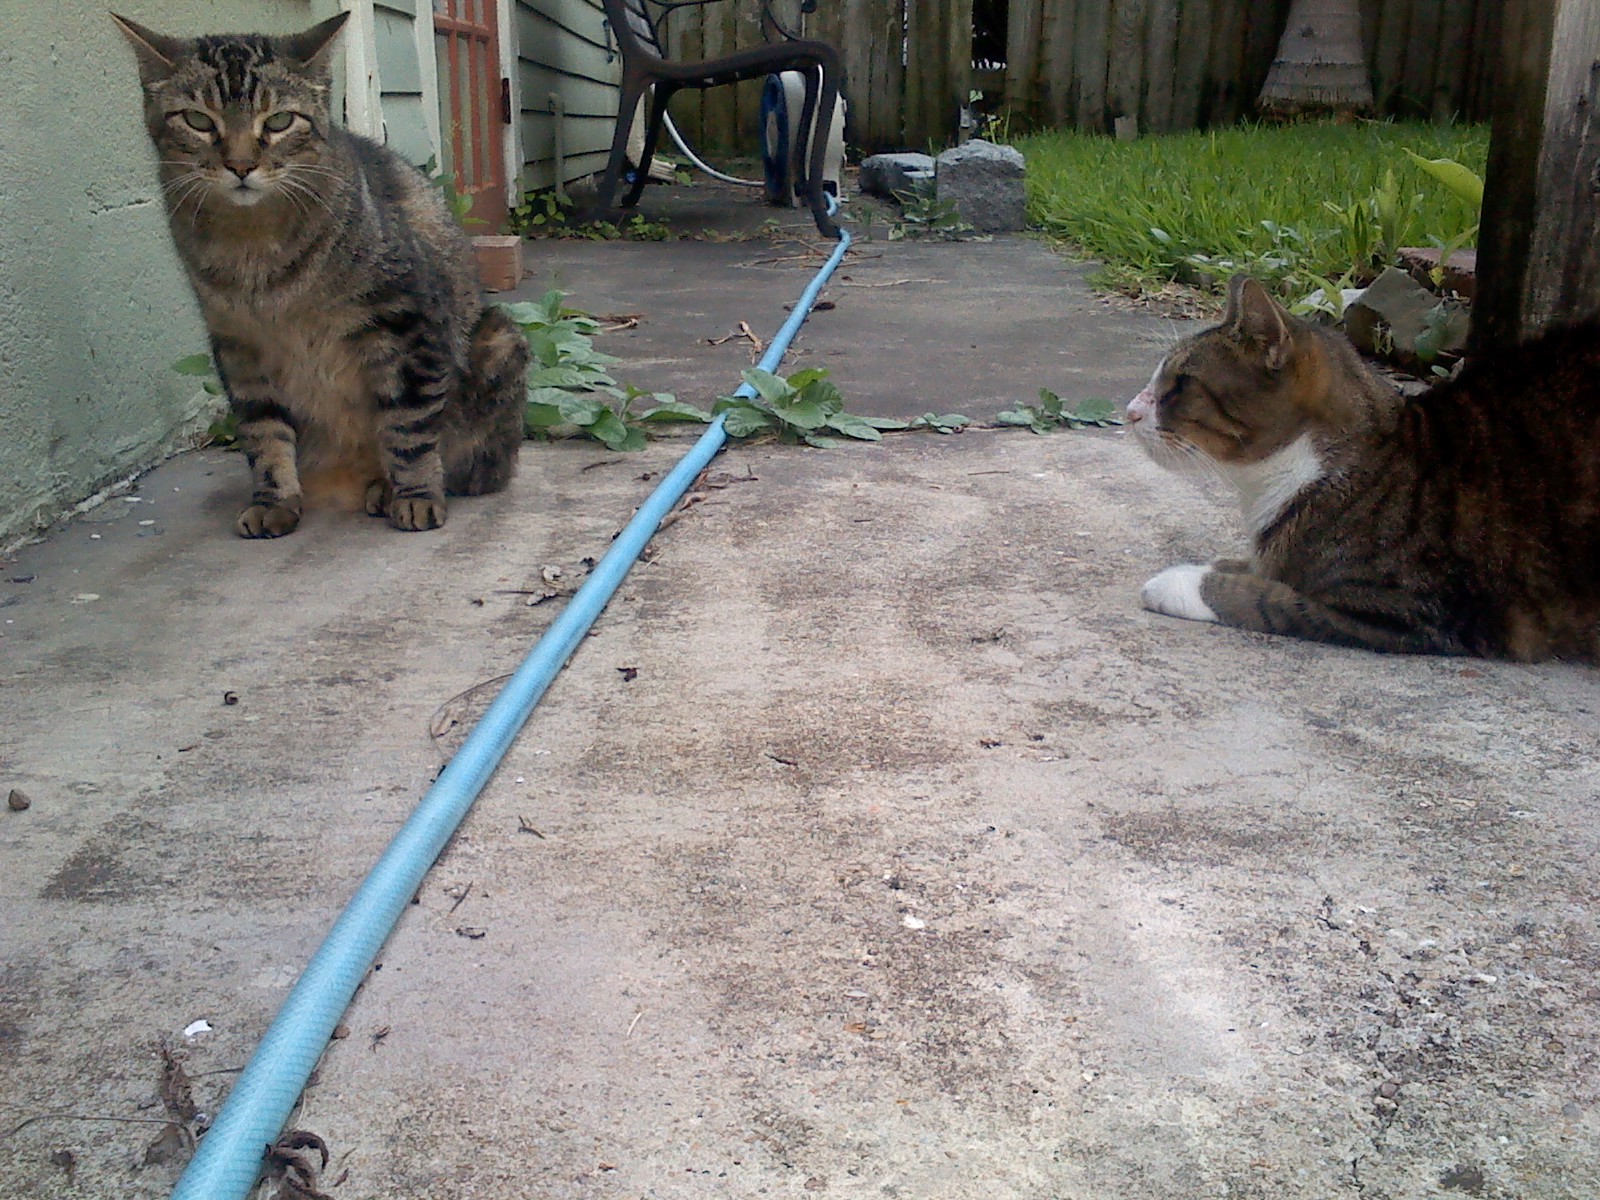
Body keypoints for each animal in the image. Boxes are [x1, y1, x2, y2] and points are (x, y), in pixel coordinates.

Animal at [116, 11, 524, 537]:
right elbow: (264, 433)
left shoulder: (408, 321)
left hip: (498, 342)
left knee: (464, 462)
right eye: (199, 121)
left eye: (280, 121)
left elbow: (409, 425)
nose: (241, 165)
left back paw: (388, 488)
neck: (255, 251)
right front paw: (274, 499)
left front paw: (414, 495)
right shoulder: (238, 346)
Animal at [1126, 276, 1600, 662]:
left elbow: (1269, 599)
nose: (1130, 411)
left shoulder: (1404, 609)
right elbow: (1253, 567)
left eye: (1182, 383)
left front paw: (1179, 583)